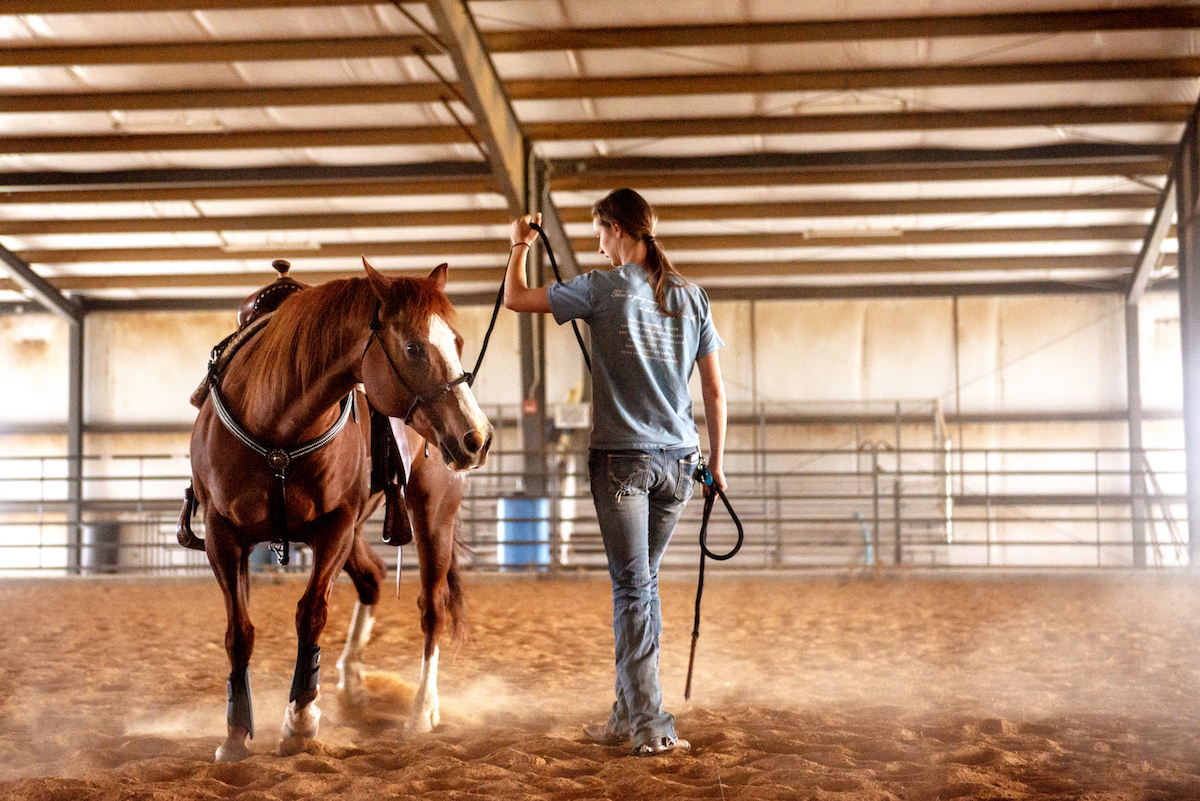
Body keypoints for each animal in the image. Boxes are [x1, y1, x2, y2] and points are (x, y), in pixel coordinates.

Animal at [183, 260, 492, 762]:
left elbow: (311, 613)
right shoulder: (222, 534)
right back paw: (351, 681)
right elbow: (239, 633)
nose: (477, 436)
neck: (277, 426)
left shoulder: (335, 528)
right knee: (373, 578)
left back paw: (421, 712)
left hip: (433, 512)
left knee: (433, 608)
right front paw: (234, 734)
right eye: (413, 347)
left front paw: (301, 720)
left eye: (458, 342)